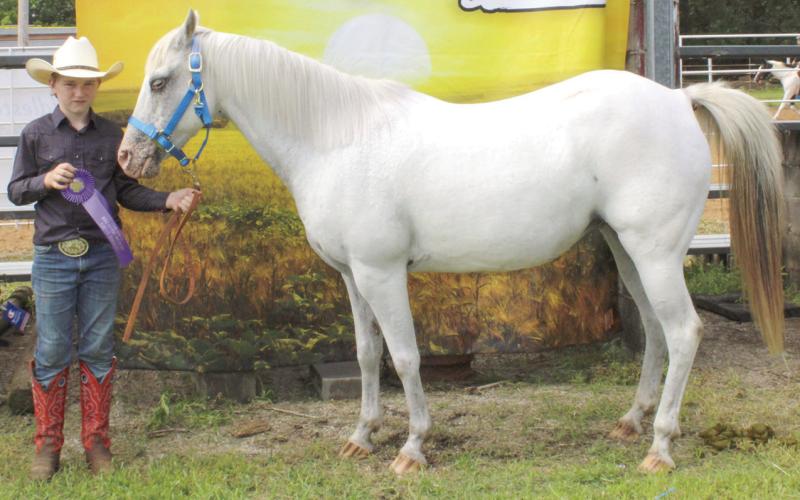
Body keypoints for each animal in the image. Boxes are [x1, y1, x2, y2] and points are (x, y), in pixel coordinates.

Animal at [118, 10, 785, 474]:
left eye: (161, 81)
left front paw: (412, 447)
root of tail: (677, 97)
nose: (127, 158)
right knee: (653, 329)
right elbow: (367, 355)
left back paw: (660, 447)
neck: (336, 139)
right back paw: (631, 422)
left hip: (656, 252)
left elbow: (406, 356)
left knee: (683, 332)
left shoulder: (383, 271)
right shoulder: (352, 275)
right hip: (627, 250)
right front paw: (361, 437)